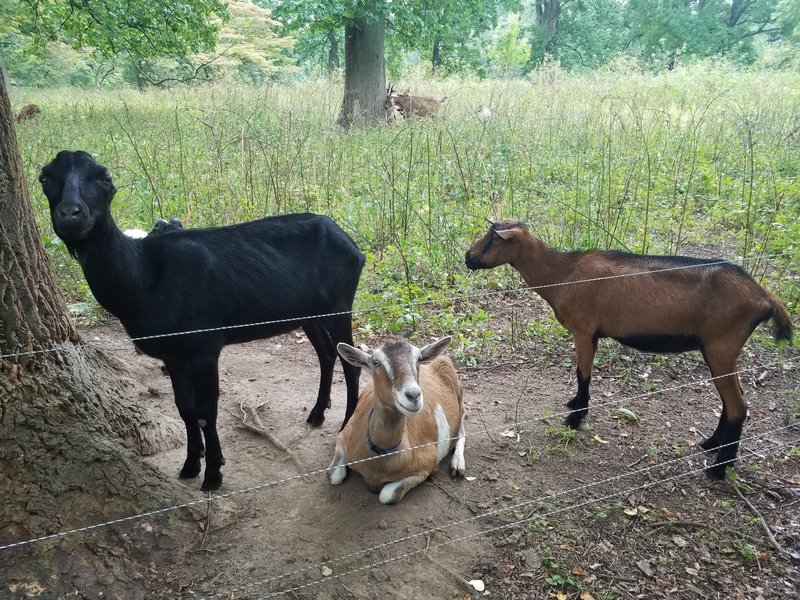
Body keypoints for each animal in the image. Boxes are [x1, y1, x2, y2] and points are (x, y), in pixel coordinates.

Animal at [42, 151, 368, 492]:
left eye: (104, 178)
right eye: (46, 177)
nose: (71, 214)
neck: (145, 274)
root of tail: (352, 245)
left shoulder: (204, 347)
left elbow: (206, 411)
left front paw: (213, 474)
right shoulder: (173, 355)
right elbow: (185, 408)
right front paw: (190, 464)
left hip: (339, 305)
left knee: (351, 363)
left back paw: (345, 424)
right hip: (310, 314)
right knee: (326, 354)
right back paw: (317, 413)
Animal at [328, 332, 466, 502]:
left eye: (418, 359)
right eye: (376, 362)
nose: (414, 395)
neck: (378, 460)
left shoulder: (428, 462)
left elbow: (387, 495)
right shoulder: (344, 434)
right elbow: (334, 476)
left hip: (459, 395)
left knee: (462, 428)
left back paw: (458, 465)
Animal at [466, 220, 792, 478]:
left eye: (494, 238)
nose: (468, 257)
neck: (563, 273)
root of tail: (765, 296)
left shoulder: (584, 330)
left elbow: (583, 373)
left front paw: (575, 418)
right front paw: (574, 405)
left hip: (722, 347)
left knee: (738, 406)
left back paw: (720, 469)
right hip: (720, 350)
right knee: (730, 402)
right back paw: (710, 445)